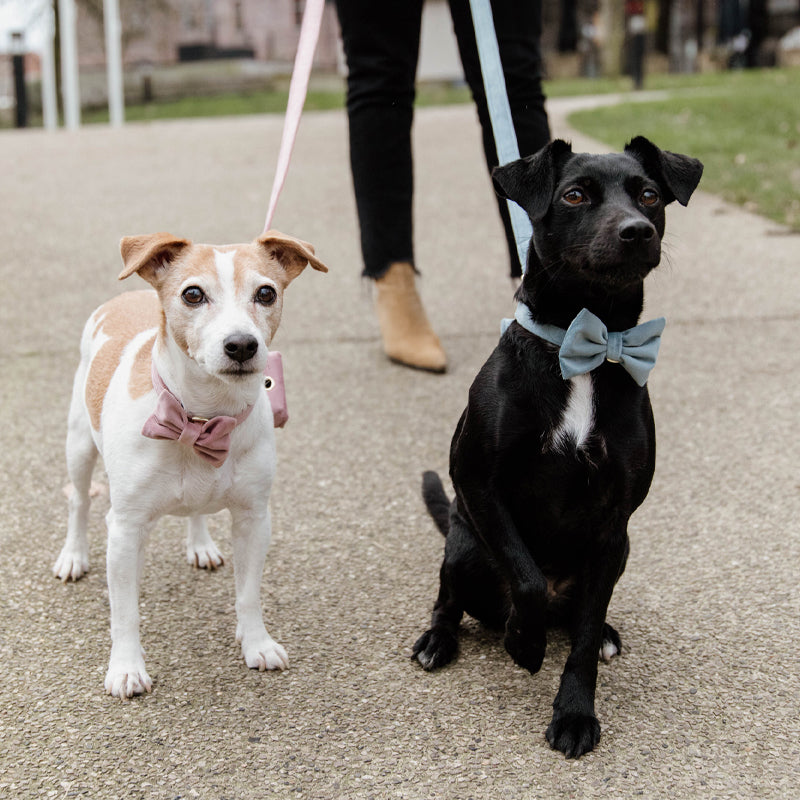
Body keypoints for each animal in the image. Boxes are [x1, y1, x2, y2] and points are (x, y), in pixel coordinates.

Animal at [54, 230, 326, 692]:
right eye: (193, 294)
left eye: (266, 293)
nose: (242, 345)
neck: (200, 418)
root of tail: (126, 296)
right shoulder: (125, 530)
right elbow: (125, 613)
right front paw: (126, 667)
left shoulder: (255, 520)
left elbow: (248, 595)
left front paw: (257, 643)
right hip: (79, 444)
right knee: (79, 500)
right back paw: (73, 556)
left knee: (195, 510)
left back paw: (200, 544)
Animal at [412, 136, 700, 756]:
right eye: (574, 195)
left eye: (648, 194)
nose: (638, 230)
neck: (588, 343)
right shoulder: (479, 483)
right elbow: (526, 577)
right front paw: (525, 640)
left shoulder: (614, 522)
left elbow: (583, 638)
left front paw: (574, 713)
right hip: (464, 543)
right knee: (450, 597)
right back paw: (440, 638)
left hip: (617, 554)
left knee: (581, 614)